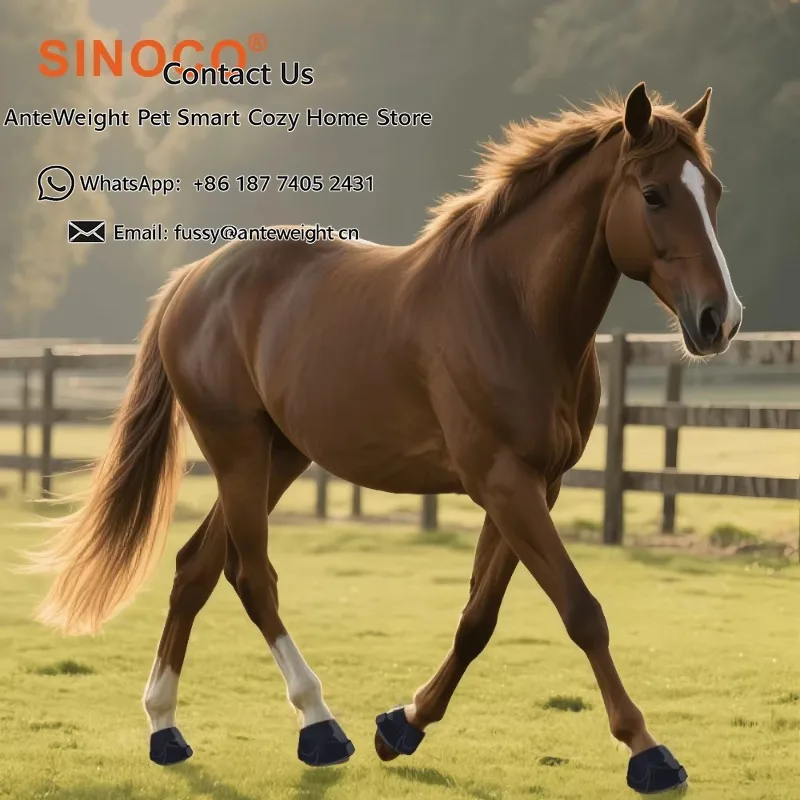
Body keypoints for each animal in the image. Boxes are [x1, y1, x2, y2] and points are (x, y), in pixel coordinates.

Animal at [27, 82, 742, 794]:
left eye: (713, 191)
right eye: (653, 194)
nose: (721, 319)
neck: (513, 307)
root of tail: (195, 278)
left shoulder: (538, 486)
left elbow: (478, 619)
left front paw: (403, 725)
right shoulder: (504, 482)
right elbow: (581, 611)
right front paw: (648, 750)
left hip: (279, 457)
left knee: (195, 568)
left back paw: (166, 729)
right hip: (237, 452)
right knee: (252, 576)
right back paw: (318, 725)